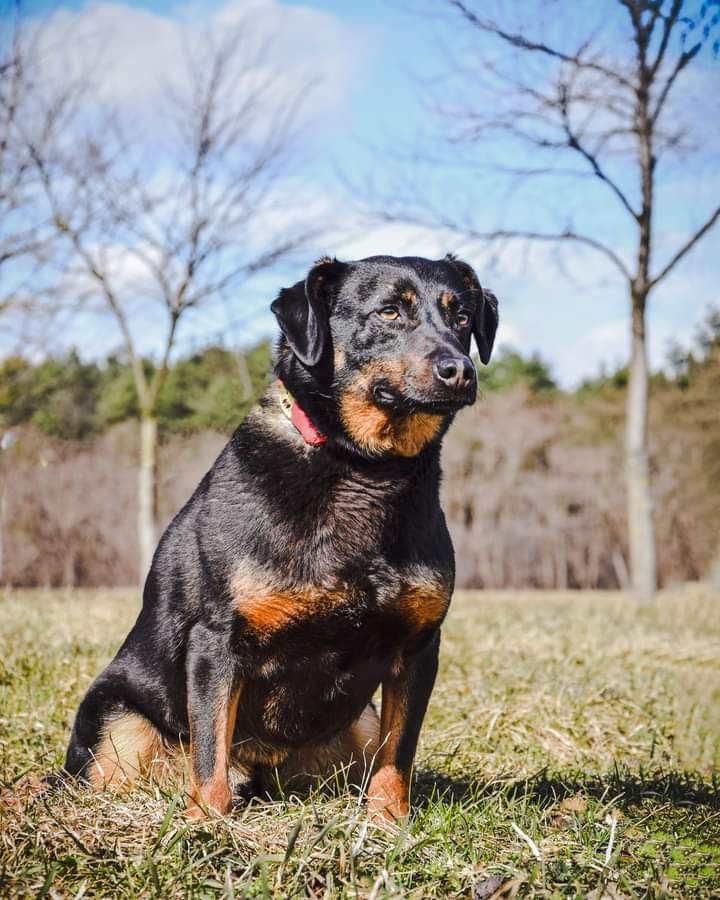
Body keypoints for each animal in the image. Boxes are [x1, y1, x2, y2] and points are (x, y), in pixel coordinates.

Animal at [64, 255, 498, 824]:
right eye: (388, 312)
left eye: (463, 317)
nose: (460, 369)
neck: (365, 470)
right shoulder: (217, 639)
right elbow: (210, 753)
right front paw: (206, 825)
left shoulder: (419, 646)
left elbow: (398, 753)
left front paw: (388, 822)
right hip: (115, 723)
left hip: (357, 724)